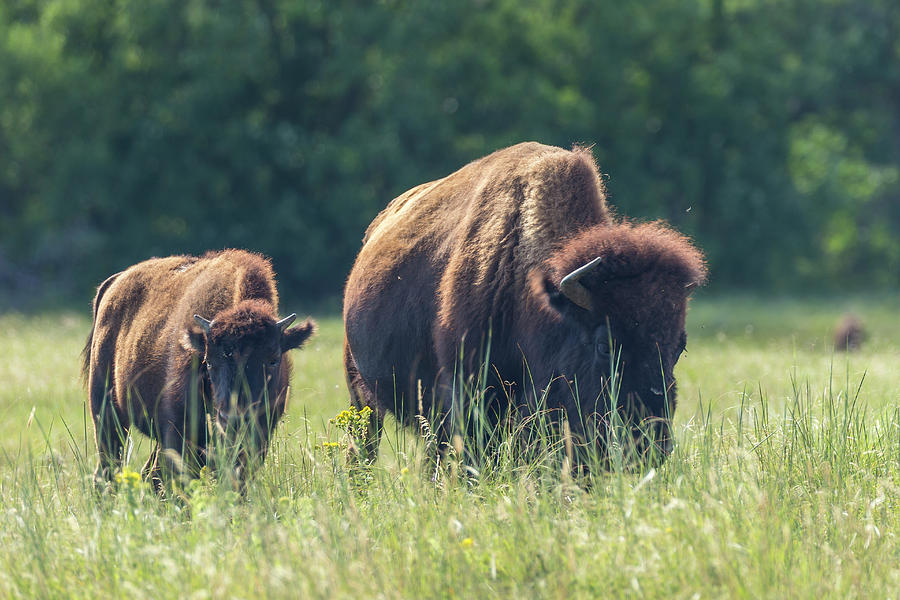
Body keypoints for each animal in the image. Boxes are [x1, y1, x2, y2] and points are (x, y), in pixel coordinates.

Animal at [81, 250, 312, 492]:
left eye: (274, 360)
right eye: (208, 362)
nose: (234, 418)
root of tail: (113, 282)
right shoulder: (178, 432)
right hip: (106, 411)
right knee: (109, 466)